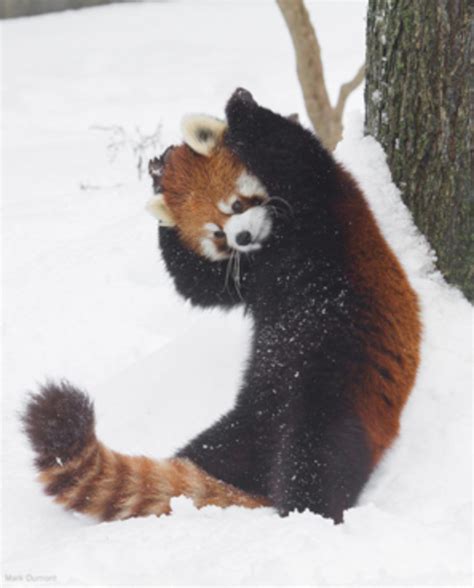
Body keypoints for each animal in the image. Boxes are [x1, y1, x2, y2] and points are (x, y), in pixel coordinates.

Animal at [23, 89, 422, 520]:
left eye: (236, 205)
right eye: (216, 234)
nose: (242, 237)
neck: (275, 246)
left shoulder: (327, 206)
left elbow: (296, 151)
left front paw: (240, 104)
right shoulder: (246, 276)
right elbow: (196, 284)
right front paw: (158, 179)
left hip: (339, 393)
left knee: (320, 458)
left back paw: (303, 512)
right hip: (246, 424)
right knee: (213, 455)